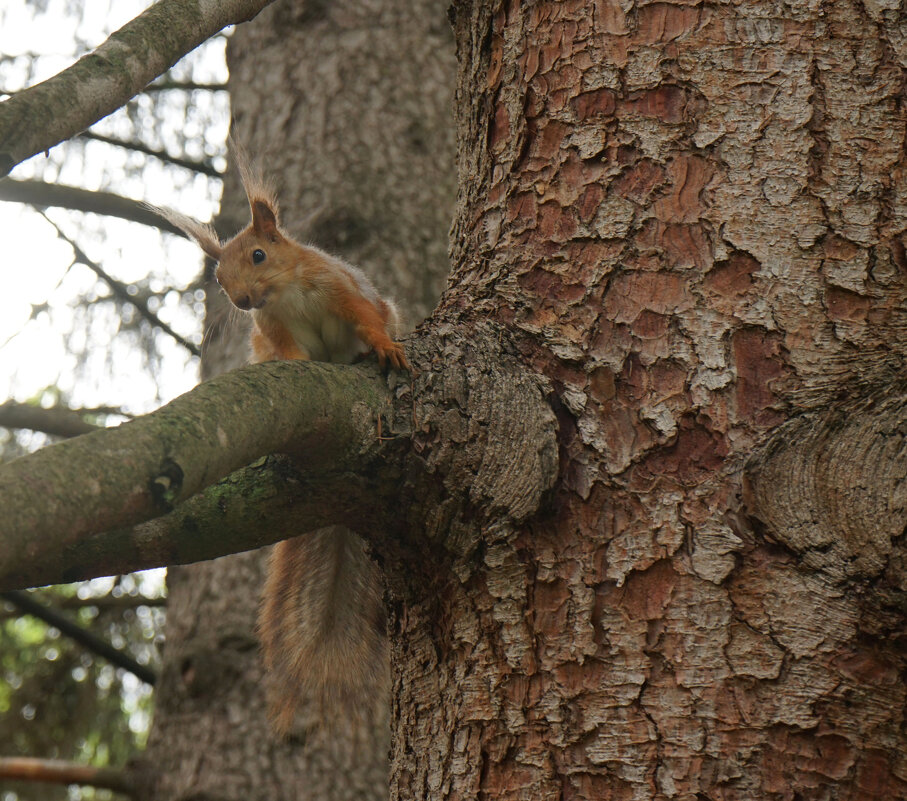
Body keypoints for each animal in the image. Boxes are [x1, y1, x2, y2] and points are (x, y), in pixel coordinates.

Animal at [151, 142, 406, 732]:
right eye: (218, 277)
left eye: (259, 255)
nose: (243, 301)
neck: (286, 293)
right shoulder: (274, 331)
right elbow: (290, 353)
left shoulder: (341, 289)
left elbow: (367, 317)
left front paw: (383, 347)